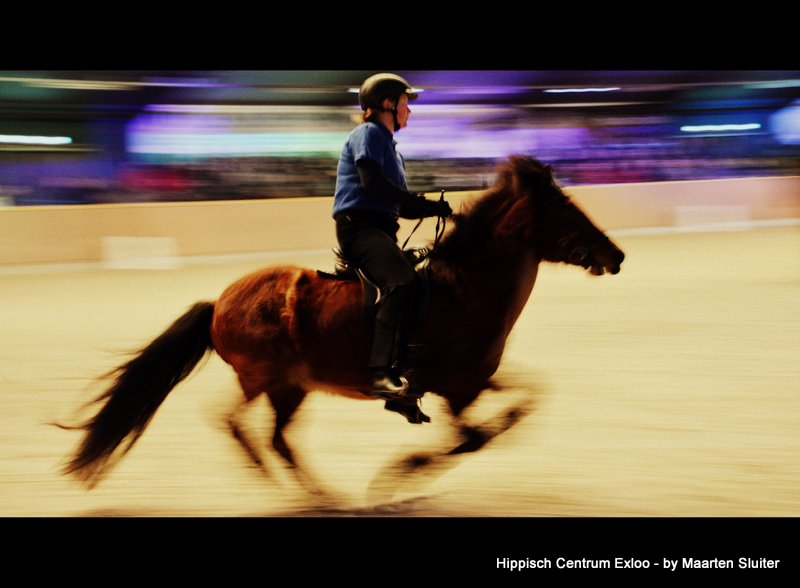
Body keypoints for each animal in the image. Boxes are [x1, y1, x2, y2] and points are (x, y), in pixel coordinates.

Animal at [61, 155, 625, 497]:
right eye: (566, 210)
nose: (615, 256)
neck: (466, 289)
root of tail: (220, 301)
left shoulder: (472, 381)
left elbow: (522, 406)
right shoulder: (456, 392)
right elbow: (475, 439)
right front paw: (399, 477)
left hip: (291, 388)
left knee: (278, 439)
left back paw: (317, 493)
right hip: (264, 378)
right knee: (233, 422)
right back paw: (279, 484)